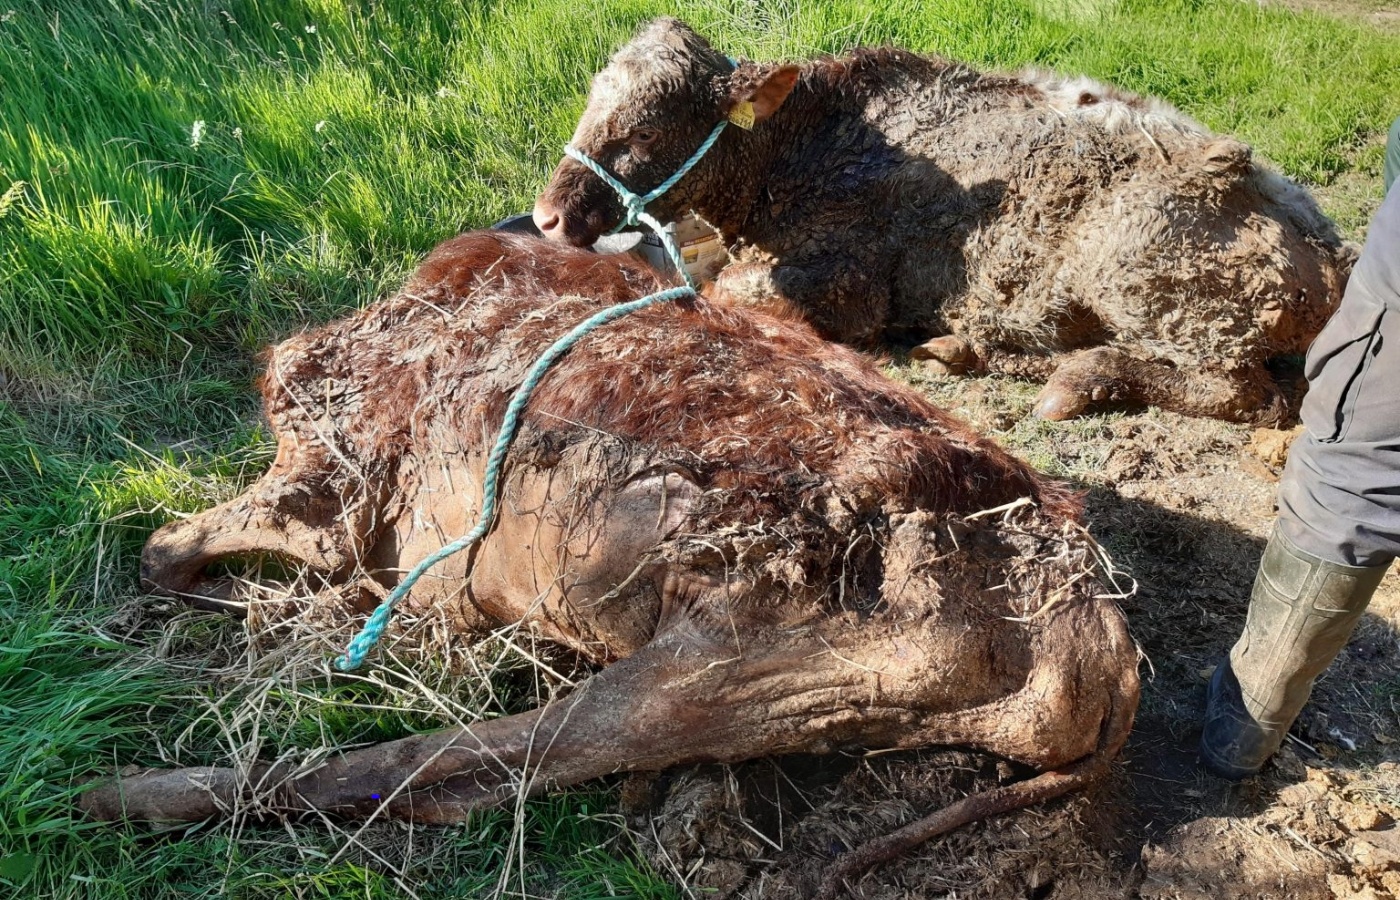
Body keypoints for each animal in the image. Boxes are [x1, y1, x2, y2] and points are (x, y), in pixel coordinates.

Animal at [81, 230, 1136, 895]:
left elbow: (163, 549)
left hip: (755, 643)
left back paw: (122, 795)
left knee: (484, 755)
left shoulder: (335, 479)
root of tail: (1110, 646)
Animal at [532, 17, 1355, 425]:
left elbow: (723, 292)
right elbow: (688, 261)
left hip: (1147, 281)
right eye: (590, 100)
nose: (546, 217)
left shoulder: (849, 282)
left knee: (1253, 395)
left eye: (644, 131)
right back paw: (966, 347)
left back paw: (1080, 379)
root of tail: (1329, 249)